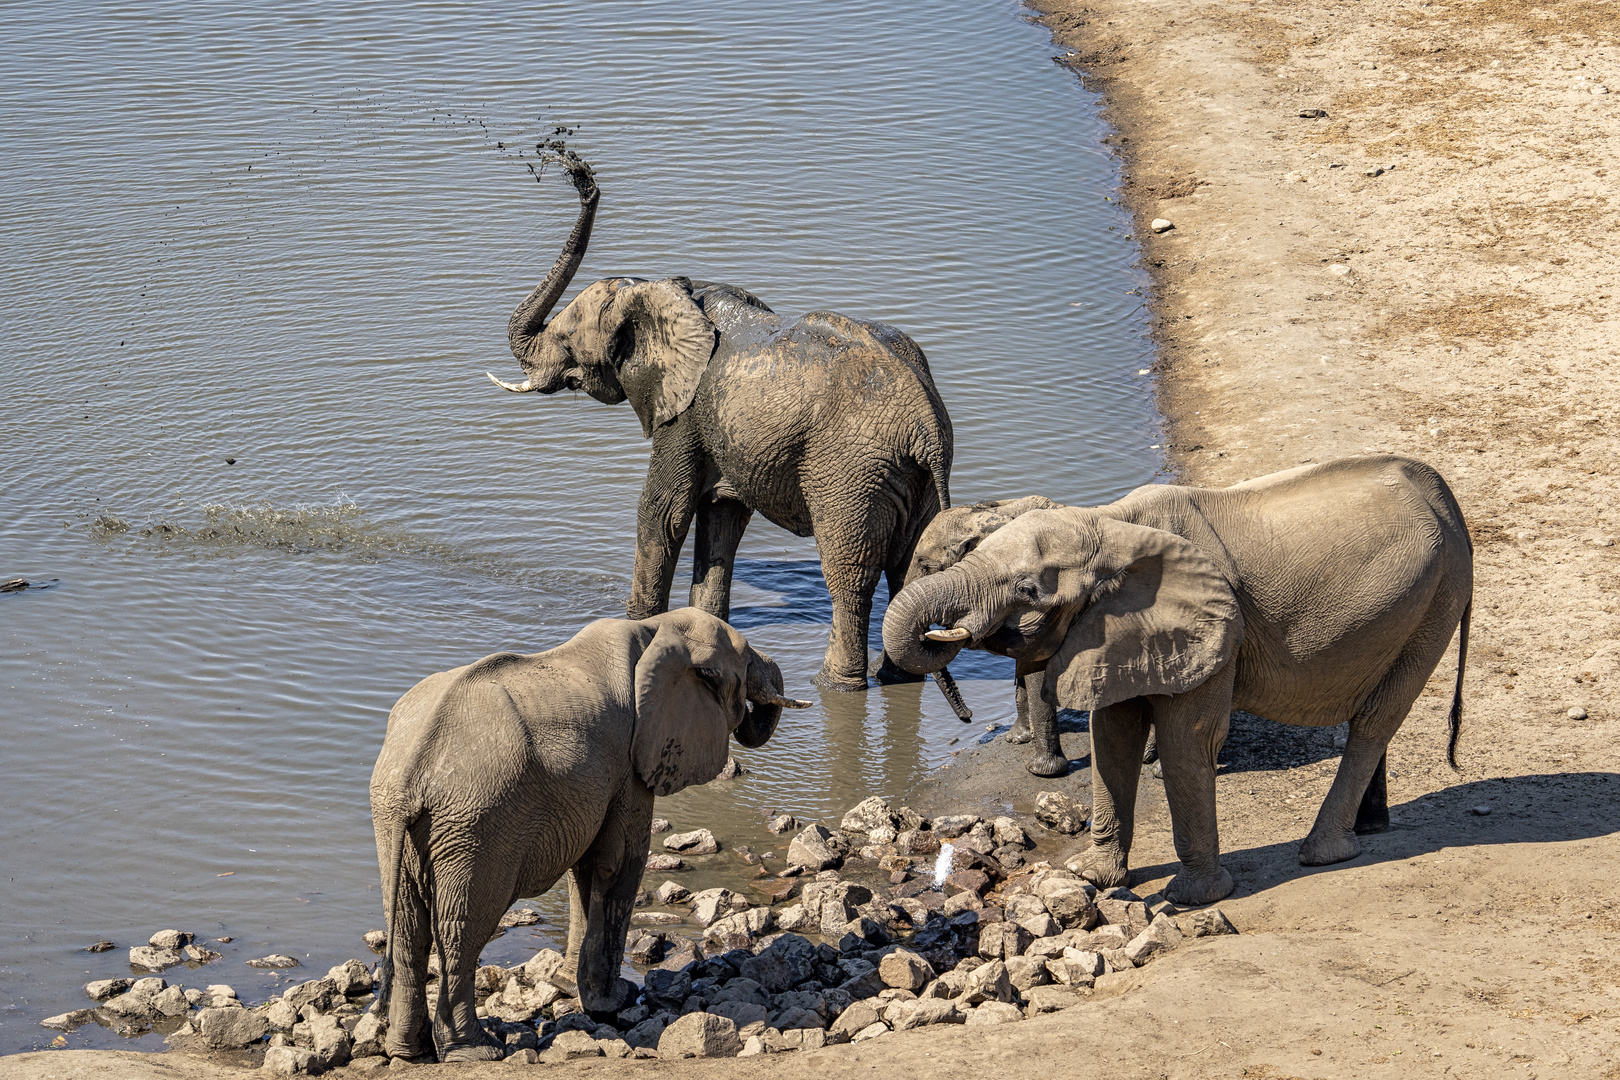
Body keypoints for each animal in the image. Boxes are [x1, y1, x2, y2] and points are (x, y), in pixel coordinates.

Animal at [364, 608, 800, 1062]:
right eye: (744, 663)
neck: (655, 628)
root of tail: (411, 771)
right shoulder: (630, 760)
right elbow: (619, 862)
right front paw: (615, 1001)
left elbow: (586, 869)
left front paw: (571, 988)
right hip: (476, 823)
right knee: (461, 930)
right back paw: (477, 1051)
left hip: (399, 821)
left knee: (408, 928)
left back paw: (408, 1051)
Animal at [482, 145, 959, 693]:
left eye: (565, 339)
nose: (581, 177)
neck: (663, 288)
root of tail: (926, 422)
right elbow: (722, 514)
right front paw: (704, 627)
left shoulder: (685, 409)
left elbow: (664, 509)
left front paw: (635, 623)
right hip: (910, 478)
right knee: (909, 567)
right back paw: (896, 676)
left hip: (851, 473)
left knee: (849, 571)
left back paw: (834, 685)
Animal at [881, 453, 1477, 906]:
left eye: (1028, 589)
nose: (966, 720)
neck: (1109, 525)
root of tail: (1445, 496)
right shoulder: (1114, 630)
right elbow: (1112, 734)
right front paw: (1092, 877)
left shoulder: (1213, 628)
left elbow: (1187, 739)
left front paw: (1194, 898)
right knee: (1370, 712)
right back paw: (1369, 828)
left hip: (1441, 597)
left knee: (1376, 720)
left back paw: (1324, 852)